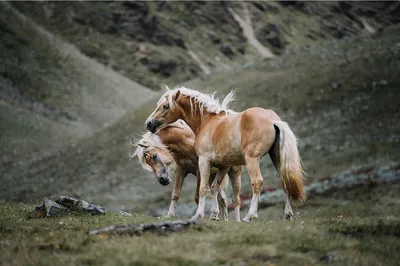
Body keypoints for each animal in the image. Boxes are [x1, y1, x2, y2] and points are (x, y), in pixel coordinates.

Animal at [145, 86, 304, 221]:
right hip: (276, 158)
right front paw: (214, 215)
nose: (149, 123)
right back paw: (288, 214)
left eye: (165, 106)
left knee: (257, 182)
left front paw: (198, 215)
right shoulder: (223, 166)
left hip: (252, 160)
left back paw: (250, 216)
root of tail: (273, 120)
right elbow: (214, 188)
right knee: (284, 181)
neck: (207, 121)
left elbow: (203, 189)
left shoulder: (203, 161)